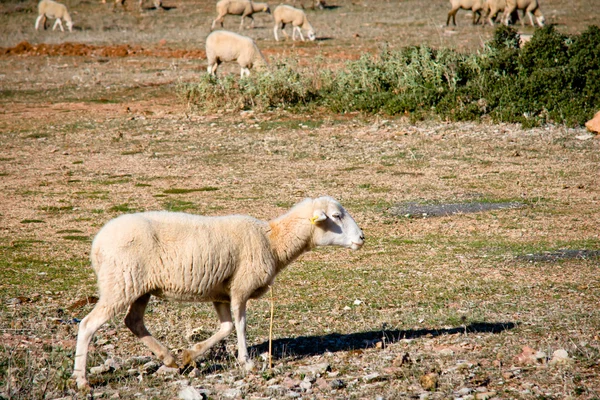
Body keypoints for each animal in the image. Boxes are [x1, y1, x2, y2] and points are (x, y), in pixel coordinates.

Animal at [69, 197, 360, 390]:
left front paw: (191, 353)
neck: (273, 241)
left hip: (138, 288)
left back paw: (169, 358)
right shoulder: (241, 286)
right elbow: (240, 325)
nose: (362, 238)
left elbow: (226, 327)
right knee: (88, 325)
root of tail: (96, 245)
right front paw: (246, 362)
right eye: (336, 216)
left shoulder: (221, 292)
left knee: (134, 322)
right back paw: (81, 379)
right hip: (120, 283)